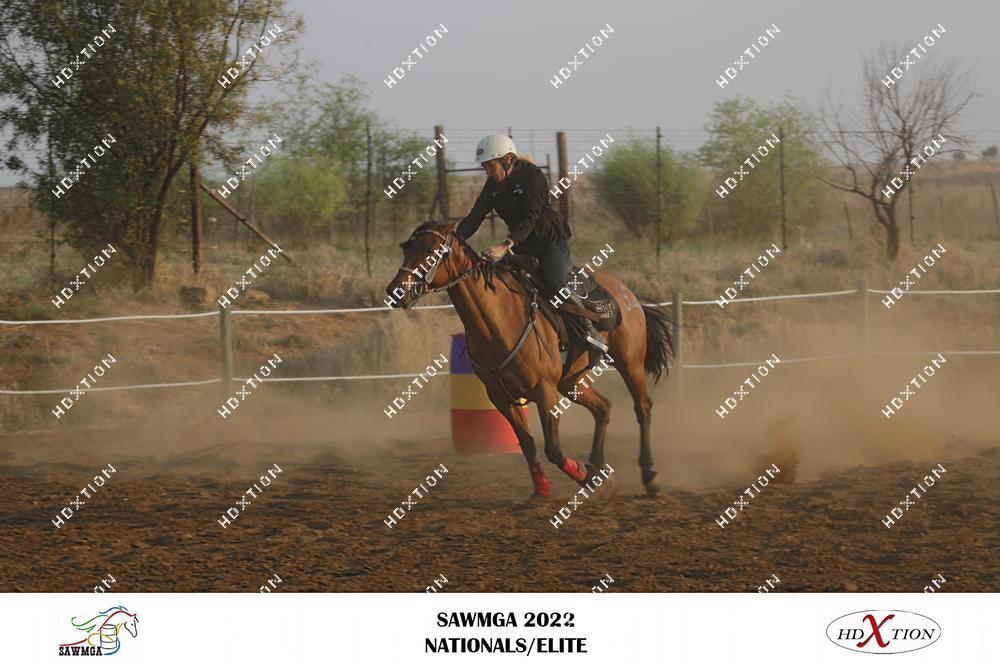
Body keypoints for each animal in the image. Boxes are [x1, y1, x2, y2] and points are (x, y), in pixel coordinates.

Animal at [385, 221, 673, 497]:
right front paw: (542, 488)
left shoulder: (544, 391)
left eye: (430, 251)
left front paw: (585, 476)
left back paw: (650, 475)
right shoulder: (499, 396)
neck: (498, 319)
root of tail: (626, 292)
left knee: (642, 407)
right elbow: (527, 444)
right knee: (603, 407)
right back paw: (599, 465)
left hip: (629, 364)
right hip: (571, 382)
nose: (395, 291)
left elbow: (553, 448)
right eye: (406, 249)